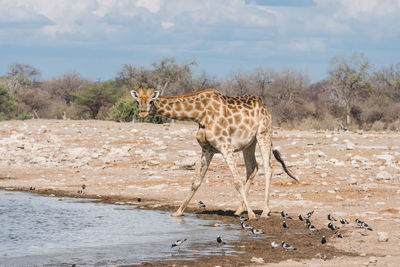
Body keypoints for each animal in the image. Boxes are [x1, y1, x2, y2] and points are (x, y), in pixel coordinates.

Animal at [131, 88, 296, 220]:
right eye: (138, 101)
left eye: (151, 101)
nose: (143, 113)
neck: (199, 114)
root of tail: (265, 107)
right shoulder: (207, 149)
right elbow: (195, 182)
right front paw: (178, 213)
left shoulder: (225, 146)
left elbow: (237, 182)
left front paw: (251, 215)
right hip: (249, 143)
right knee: (252, 168)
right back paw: (239, 210)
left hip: (264, 134)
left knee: (268, 168)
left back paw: (264, 211)